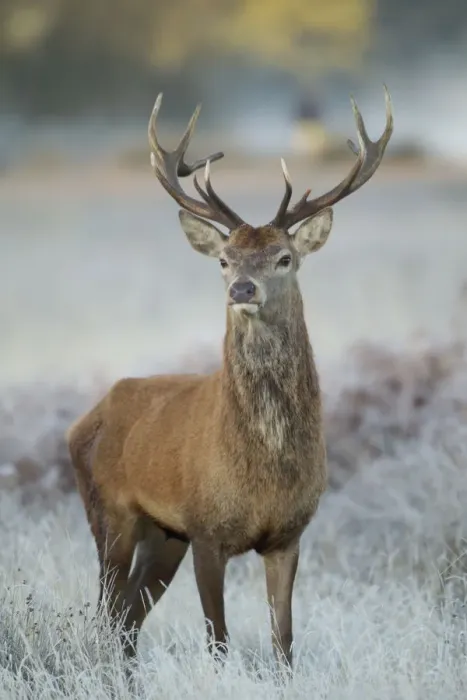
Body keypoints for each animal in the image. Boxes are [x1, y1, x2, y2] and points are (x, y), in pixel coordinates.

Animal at [67, 86, 393, 669]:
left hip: (162, 536)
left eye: (284, 257)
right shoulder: (205, 530)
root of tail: (86, 417)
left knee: (128, 617)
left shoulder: (288, 534)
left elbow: (284, 642)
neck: (261, 474)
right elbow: (217, 641)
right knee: (107, 611)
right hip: (108, 510)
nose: (242, 288)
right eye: (224, 259)